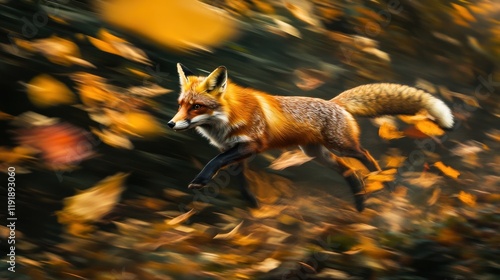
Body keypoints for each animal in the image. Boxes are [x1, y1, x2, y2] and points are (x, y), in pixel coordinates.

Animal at [168, 63, 454, 211]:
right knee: (350, 171)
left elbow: (214, 162)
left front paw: (201, 180)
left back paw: (382, 179)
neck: (226, 120)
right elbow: (239, 178)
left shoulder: (252, 145)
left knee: (365, 155)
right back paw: (361, 202)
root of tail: (335, 103)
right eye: (181, 104)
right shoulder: (239, 153)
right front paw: (252, 202)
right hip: (318, 155)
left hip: (340, 146)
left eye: (197, 107)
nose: (171, 124)